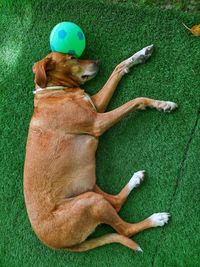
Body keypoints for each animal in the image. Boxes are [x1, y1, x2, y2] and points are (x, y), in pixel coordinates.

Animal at [23, 45, 178, 252]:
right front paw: (162, 104)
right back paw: (156, 219)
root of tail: (58, 246)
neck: (54, 91)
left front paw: (139, 56)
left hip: (88, 187)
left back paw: (135, 180)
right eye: (71, 57)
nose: (97, 62)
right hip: (91, 202)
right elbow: (136, 100)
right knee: (125, 230)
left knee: (116, 203)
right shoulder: (98, 122)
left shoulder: (96, 105)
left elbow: (118, 69)